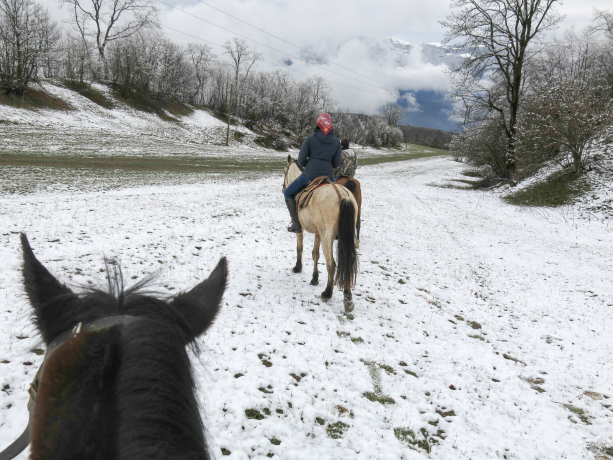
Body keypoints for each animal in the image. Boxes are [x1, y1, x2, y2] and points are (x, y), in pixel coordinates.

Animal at [282, 157, 358, 306]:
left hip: (327, 238)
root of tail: (342, 195)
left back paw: (327, 293)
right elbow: (315, 254)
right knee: (347, 261)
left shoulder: (301, 230)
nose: (283, 188)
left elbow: (300, 248)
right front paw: (314, 278)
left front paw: (297, 267)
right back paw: (347, 295)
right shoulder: (318, 233)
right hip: (343, 237)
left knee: (331, 264)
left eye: (284, 171)